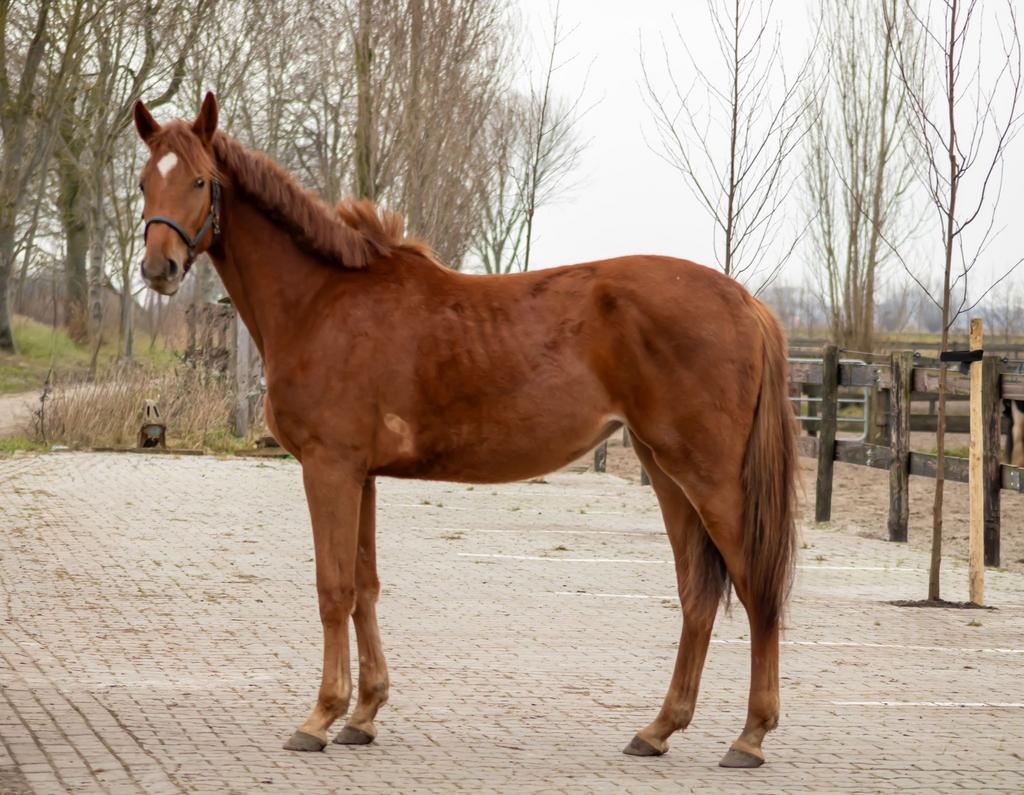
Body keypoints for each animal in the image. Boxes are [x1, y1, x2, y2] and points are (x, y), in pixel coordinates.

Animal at [132, 92, 798, 769]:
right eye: (143, 181)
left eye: (200, 180)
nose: (160, 267)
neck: (323, 300)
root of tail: (746, 302)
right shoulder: (362, 477)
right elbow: (366, 586)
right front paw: (364, 714)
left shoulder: (329, 468)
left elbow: (333, 589)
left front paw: (320, 716)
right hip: (664, 470)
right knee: (697, 593)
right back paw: (659, 728)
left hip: (708, 477)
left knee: (756, 587)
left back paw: (750, 735)